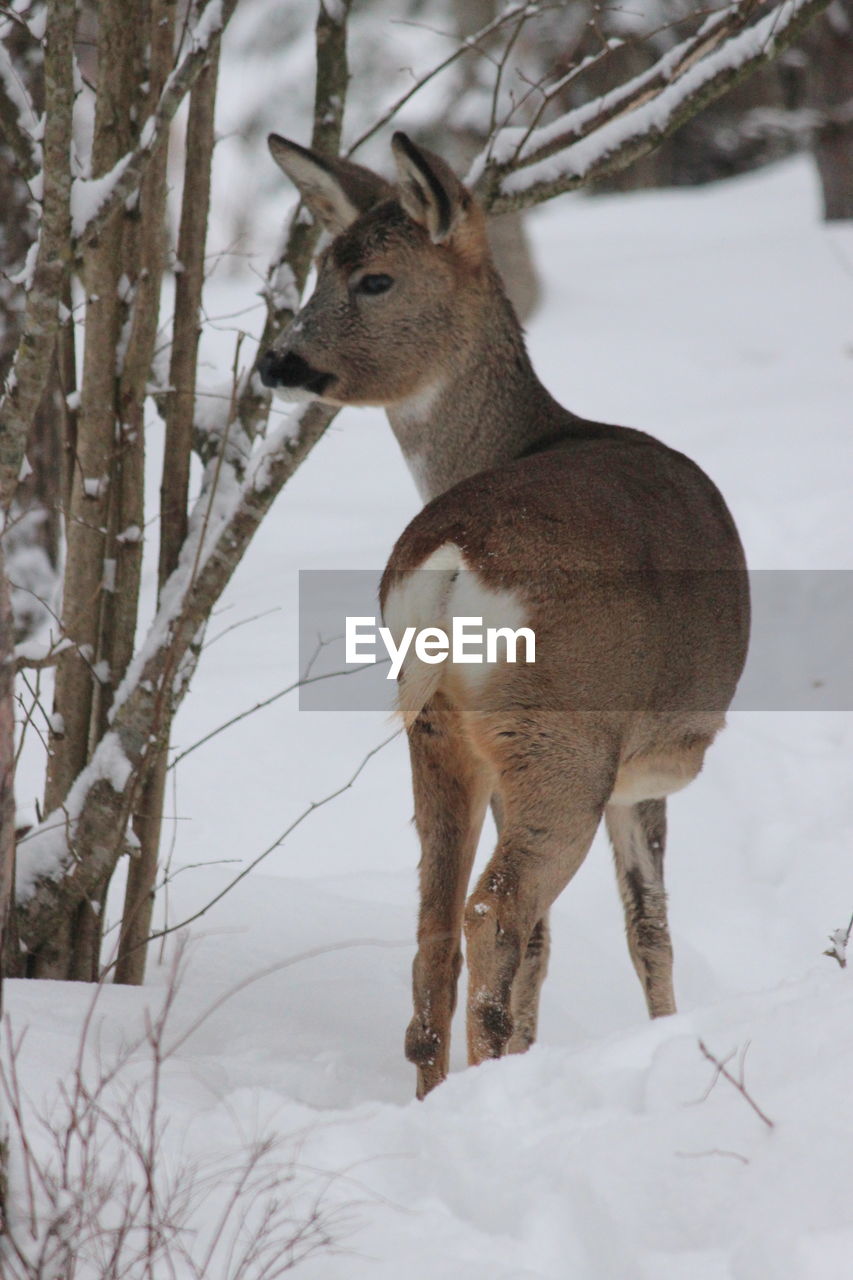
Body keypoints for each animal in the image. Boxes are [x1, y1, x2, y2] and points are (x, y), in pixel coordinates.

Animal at [258, 135, 742, 1105]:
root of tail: (452, 556)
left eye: (369, 277)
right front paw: (666, 1039)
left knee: (435, 927)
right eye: (324, 270)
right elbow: (647, 928)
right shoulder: (638, 771)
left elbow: (560, 947)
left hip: (434, 725)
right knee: (495, 909)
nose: (275, 362)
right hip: (560, 736)